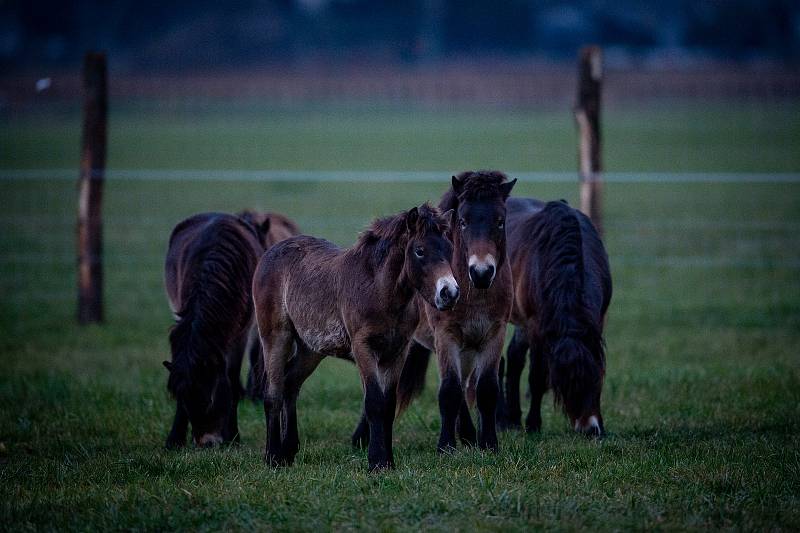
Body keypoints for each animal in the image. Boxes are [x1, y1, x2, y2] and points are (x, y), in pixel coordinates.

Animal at [162, 210, 300, 446]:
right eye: (184, 399)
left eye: (210, 399)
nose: (207, 442)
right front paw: (175, 438)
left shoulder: (242, 331)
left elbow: (232, 378)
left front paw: (233, 435)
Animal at [253, 204, 460, 470]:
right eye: (420, 251)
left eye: (449, 249)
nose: (449, 293)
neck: (380, 292)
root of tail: (270, 252)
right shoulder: (363, 347)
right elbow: (374, 403)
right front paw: (376, 462)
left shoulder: (397, 351)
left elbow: (388, 405)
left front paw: (388, 461)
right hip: (275, 336)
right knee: (273, 393)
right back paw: (273, 457)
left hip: (311, 349)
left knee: (290, 383)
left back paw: (288, 451)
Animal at [500, 197, 612, 434]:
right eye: (565, 386)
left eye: (596, 381)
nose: (591, 429)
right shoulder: (536, 326)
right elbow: (537, 377)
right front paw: (533, 424)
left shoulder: (598, 321)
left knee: (514, 357)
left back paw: (512, 419)